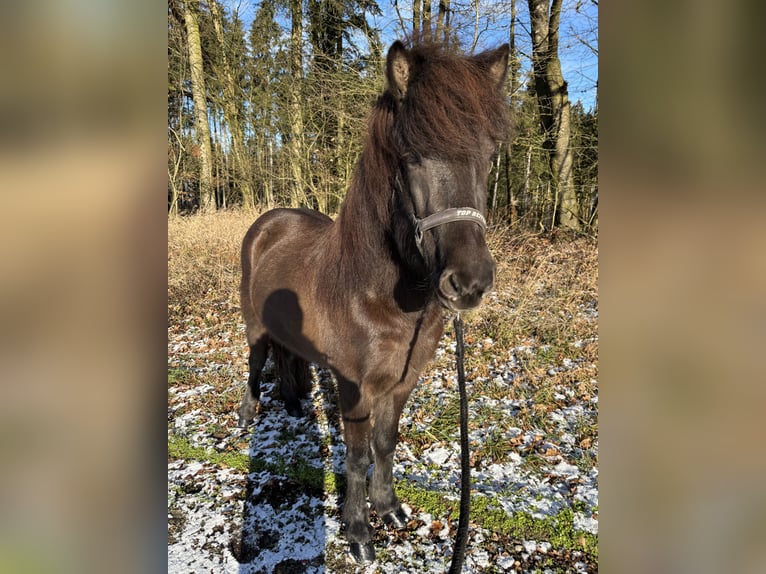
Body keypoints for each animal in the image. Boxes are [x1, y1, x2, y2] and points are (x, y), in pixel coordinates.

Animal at [237, 40, 508, 568]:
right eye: (412, 157)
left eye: (490, 155)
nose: (469, 283)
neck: (377, 298)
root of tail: (269, 222)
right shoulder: (354, 387)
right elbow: (357, 455)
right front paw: (359, 532)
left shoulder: (403, 381)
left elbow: (386, 443)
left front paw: (390, 509)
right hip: (253, 325)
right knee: (257, 362)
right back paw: (246, 416)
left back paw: (294, 404)